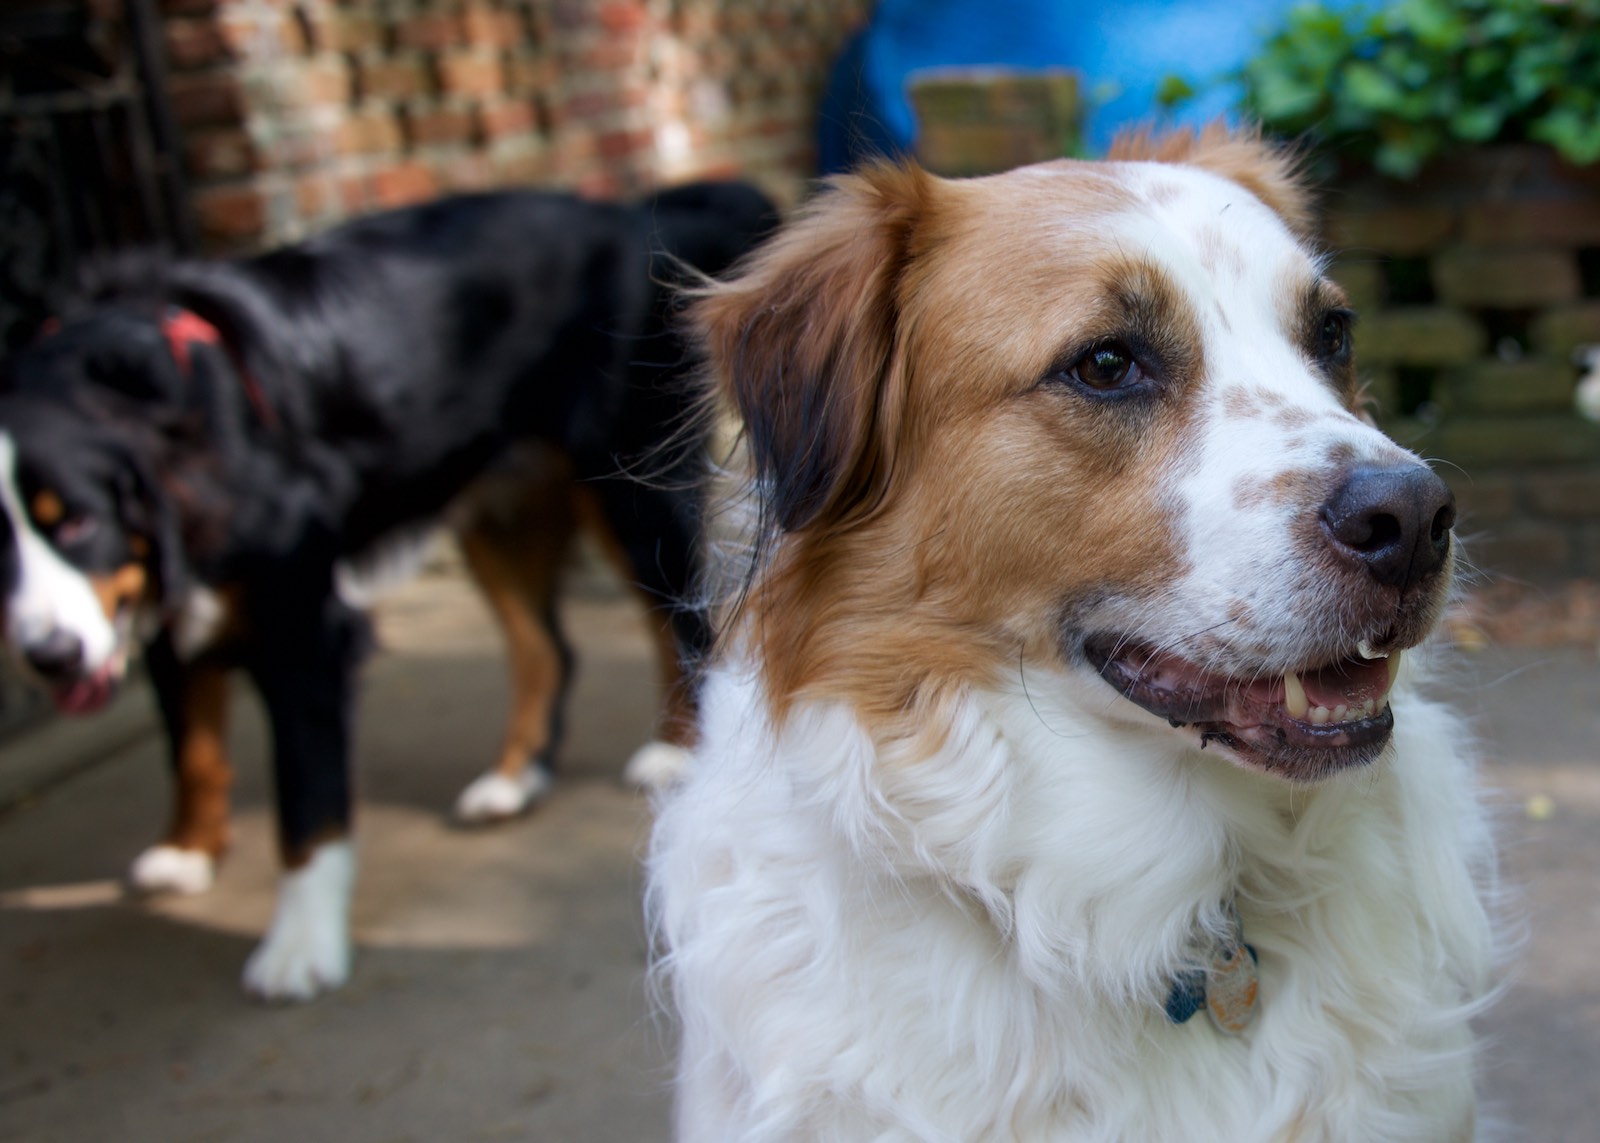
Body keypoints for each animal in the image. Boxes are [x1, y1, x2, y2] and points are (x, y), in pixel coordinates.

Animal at [0, 179, 776, 1000]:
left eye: (77, 520)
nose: (49, 655)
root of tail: (624, 211)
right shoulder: (154, 591)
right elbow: (193, 747)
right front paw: (186, 849)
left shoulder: (301, 621)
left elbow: (305, 799)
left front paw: (299, 941)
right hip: (498, 508)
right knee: (547, 649)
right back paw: (512, 779)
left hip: (627, 485)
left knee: (686, 625)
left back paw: (675, 751)